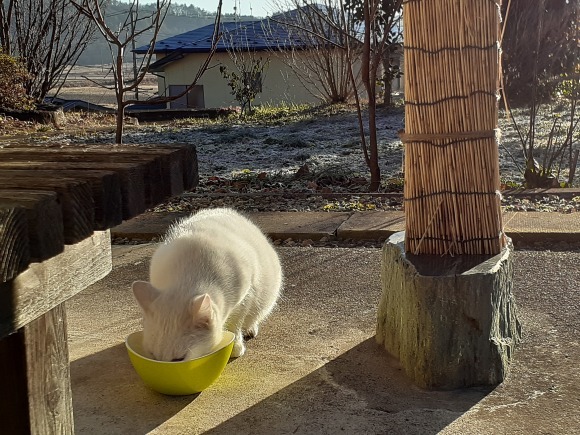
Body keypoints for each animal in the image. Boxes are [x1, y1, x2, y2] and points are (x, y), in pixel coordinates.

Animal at [134, 208, 284, 362]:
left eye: (179, 359)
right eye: (153, 355)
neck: (190, 274)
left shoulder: (246, 295)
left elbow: (235, 324)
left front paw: (235, 346)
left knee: (253, 316)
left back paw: (250, 328)